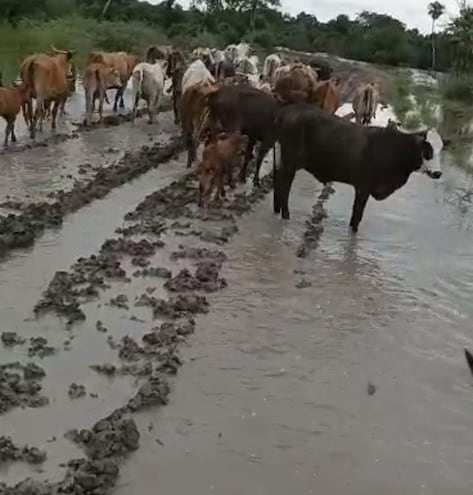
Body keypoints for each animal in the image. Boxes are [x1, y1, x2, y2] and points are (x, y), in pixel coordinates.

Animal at [272, 103, 440, 234]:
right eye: (428, 151)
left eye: (441, 150)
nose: (438, 173)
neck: (395, 148)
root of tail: (288, 111)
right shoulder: (363, 187)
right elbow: (357, 215)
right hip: (290, 163)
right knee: (285, 185)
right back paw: (285, 215)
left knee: (277, 180)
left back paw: (277, 210)